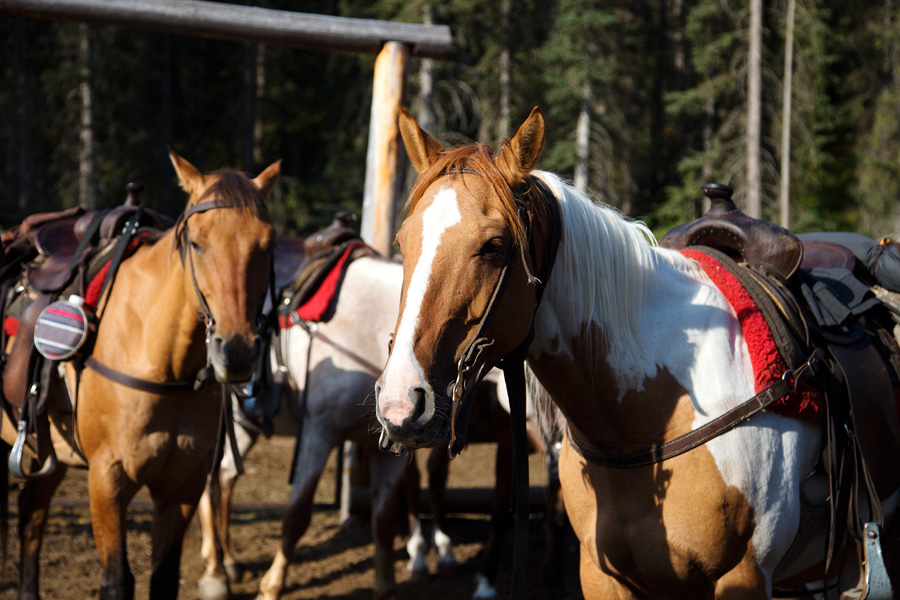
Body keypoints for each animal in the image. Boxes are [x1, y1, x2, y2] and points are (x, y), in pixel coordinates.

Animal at [1, 151, 278, 600]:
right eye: (196, 242)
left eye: (267, 245)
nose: (235, 351)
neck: (161, 362)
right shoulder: (107, 479)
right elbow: (117, 581)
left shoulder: (182, 485)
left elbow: (163, 577)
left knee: (31, 514)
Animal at [373, 106, 900, 598]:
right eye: (402, 241)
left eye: (494, 245)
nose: (401, 403)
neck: (640, 423)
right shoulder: (602, 576)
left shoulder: (744, 578)